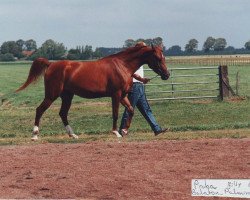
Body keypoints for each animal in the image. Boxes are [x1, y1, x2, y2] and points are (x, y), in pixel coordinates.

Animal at [16, 43, 170, 141]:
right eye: (158, 58)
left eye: (163, 57)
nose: (167, 75)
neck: (122, 65)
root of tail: (51, 64)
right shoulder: (116, 95)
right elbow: (115, 114)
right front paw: (116, 132)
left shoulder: (123, 96)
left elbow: (131, 110)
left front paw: (125, 130)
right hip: (52, 95)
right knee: (40, 110)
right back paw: (35, 135)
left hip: (67, 96)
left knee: (63, 113)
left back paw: (73, 135)